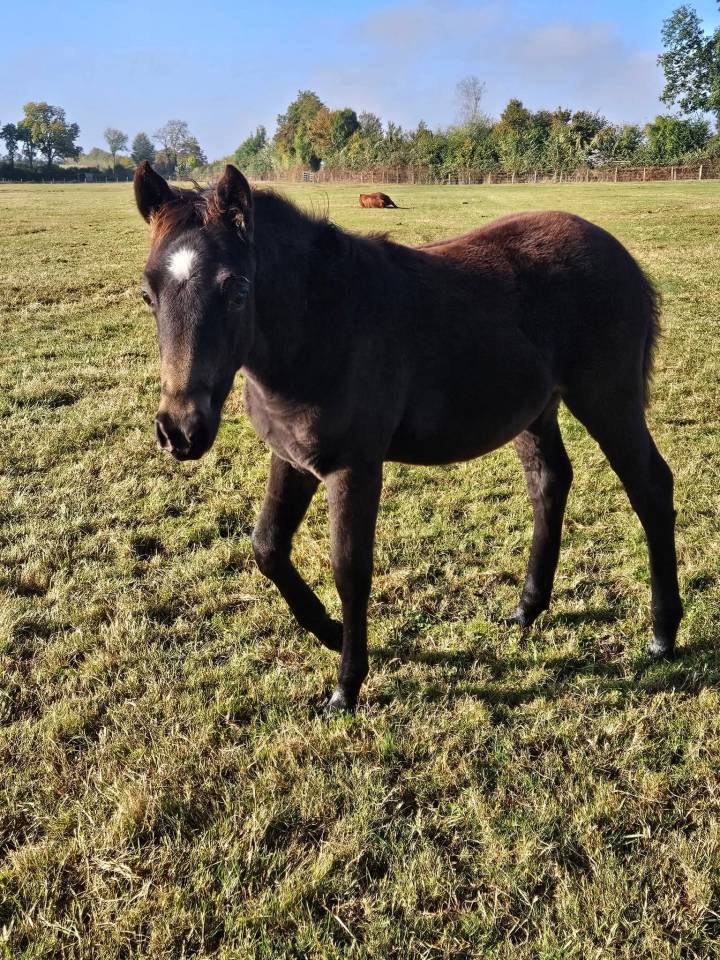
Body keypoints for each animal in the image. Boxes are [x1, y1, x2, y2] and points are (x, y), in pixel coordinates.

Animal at [133, 161, 683, 711]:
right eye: (148, 295)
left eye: (238, 290)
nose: (180, 430)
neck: (324, 328)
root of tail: (620, 255)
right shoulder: (291, 458)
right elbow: (267, 547)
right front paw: (331, 632)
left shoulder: (354, 468)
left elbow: (350, 569)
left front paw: (346, 687)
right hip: (535, 410)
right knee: (549, 483)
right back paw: (527, 609)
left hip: (607, 399)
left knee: (651, 488)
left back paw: (662, 633)